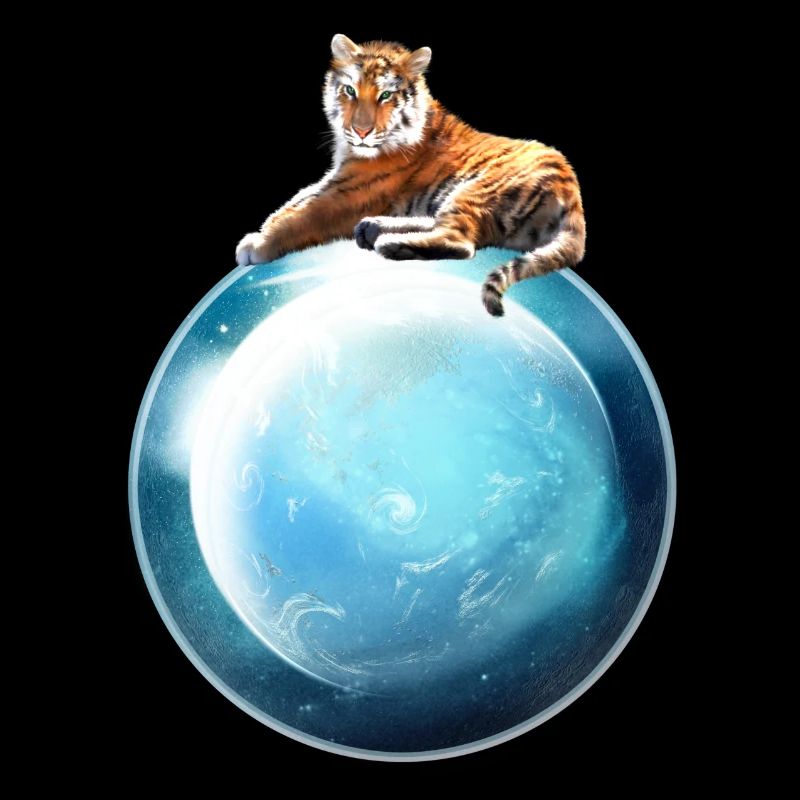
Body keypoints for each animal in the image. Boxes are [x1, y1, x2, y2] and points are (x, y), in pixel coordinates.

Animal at [236, 34, 586, 316]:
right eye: (349, 90)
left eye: (385, 96)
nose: (360, 132)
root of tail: (572, 192)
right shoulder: (337, 179)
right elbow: (294, 202)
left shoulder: (351, 191)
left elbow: (301, 215)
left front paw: (258, 244)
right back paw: (374, 228)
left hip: (475, 190)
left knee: (461, 242)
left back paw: (389, 242)